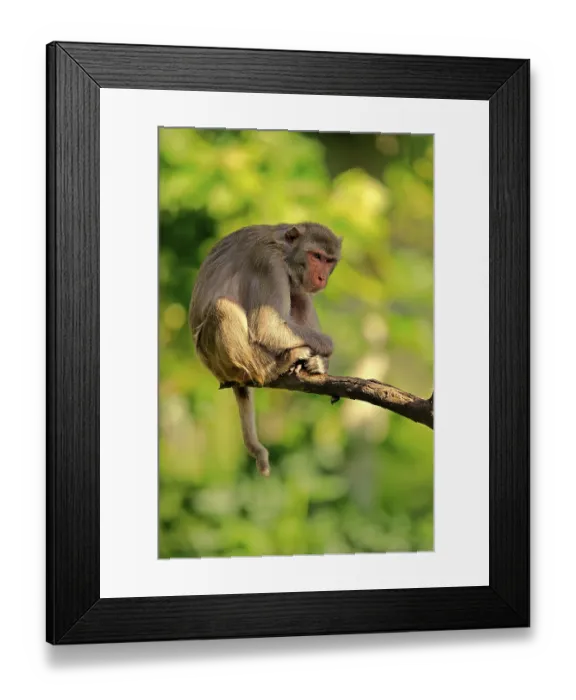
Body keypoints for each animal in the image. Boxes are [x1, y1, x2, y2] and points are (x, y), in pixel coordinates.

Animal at [189, 222, 341, 477]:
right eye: (316, 256)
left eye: (329, 261)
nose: (321, 277)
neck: (284, 252)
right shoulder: (269, 265)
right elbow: (266, 325)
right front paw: (327, 346)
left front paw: (320, 361)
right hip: (215, 356)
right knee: (223, 307)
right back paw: (271, 368)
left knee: (299, 295)